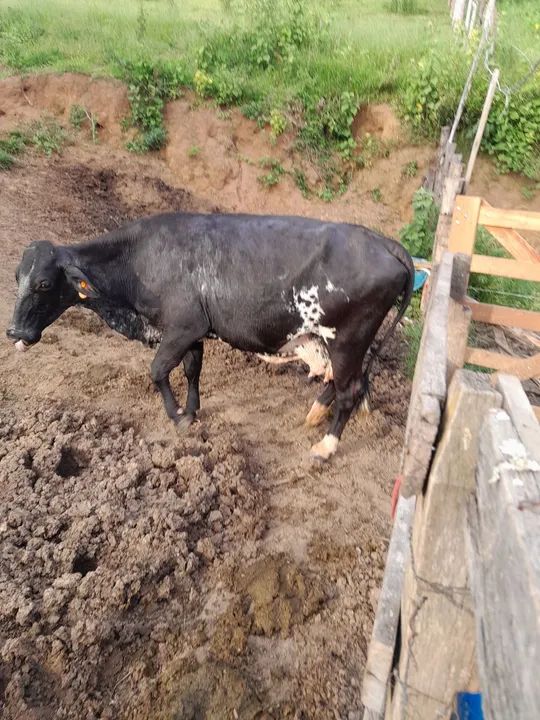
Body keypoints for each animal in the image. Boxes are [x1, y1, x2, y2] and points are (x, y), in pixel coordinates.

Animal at [6, 213, 414, 461]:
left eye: (43, 284)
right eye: (17, 276)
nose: (14, 331)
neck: (138, 260)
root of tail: (383, 242)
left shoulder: (182, 327)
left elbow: (158, 370)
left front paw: (177, 418)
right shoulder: (194, 332)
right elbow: (191, 370)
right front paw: (191, 410)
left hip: (346, 339)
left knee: (348, 389)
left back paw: (326, 445)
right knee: (346, 381)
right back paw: (316, 415)